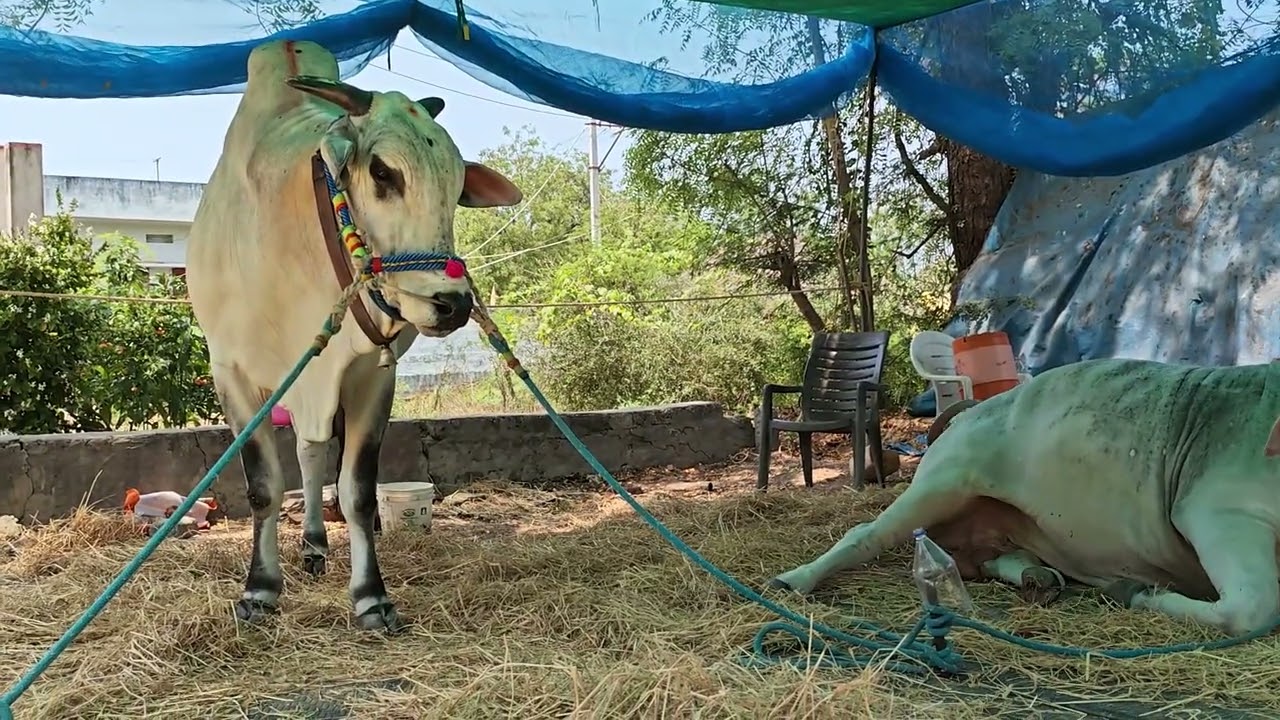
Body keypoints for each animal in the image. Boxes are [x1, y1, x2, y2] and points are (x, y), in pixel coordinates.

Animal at [185, 39, 523, 632]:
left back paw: (316, 544)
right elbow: (262, 488)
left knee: (312, 451)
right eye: (383, 171)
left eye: (457, 186)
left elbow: (358, 491)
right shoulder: (232, 376)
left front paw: (371, 596)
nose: (452, 303)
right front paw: (260, 589)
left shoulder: (370, 375)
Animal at [770, 358, 1280, 637]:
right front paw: (1137, 591)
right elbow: (1253, 610)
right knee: (865, 533)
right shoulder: (1218, 513)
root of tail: (966, 413)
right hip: (941, 484)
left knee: (993, 560)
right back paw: (795, 580)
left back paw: (1037, 577)